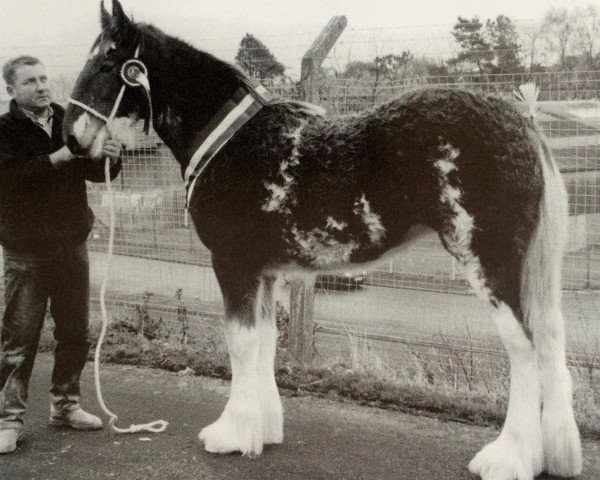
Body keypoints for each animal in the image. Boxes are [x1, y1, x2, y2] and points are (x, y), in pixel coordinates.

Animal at [64, 1, 580, 478]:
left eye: (108, 62)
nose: (71, 136)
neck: (232, 142)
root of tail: (519, 119)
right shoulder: (266, 272)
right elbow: (265, 342)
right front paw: (264, 429)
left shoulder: (232, 265)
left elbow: (240, 344)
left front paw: (230, 434)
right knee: (551, 340)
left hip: (488, 263)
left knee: (524, 349)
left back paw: (508, 458)